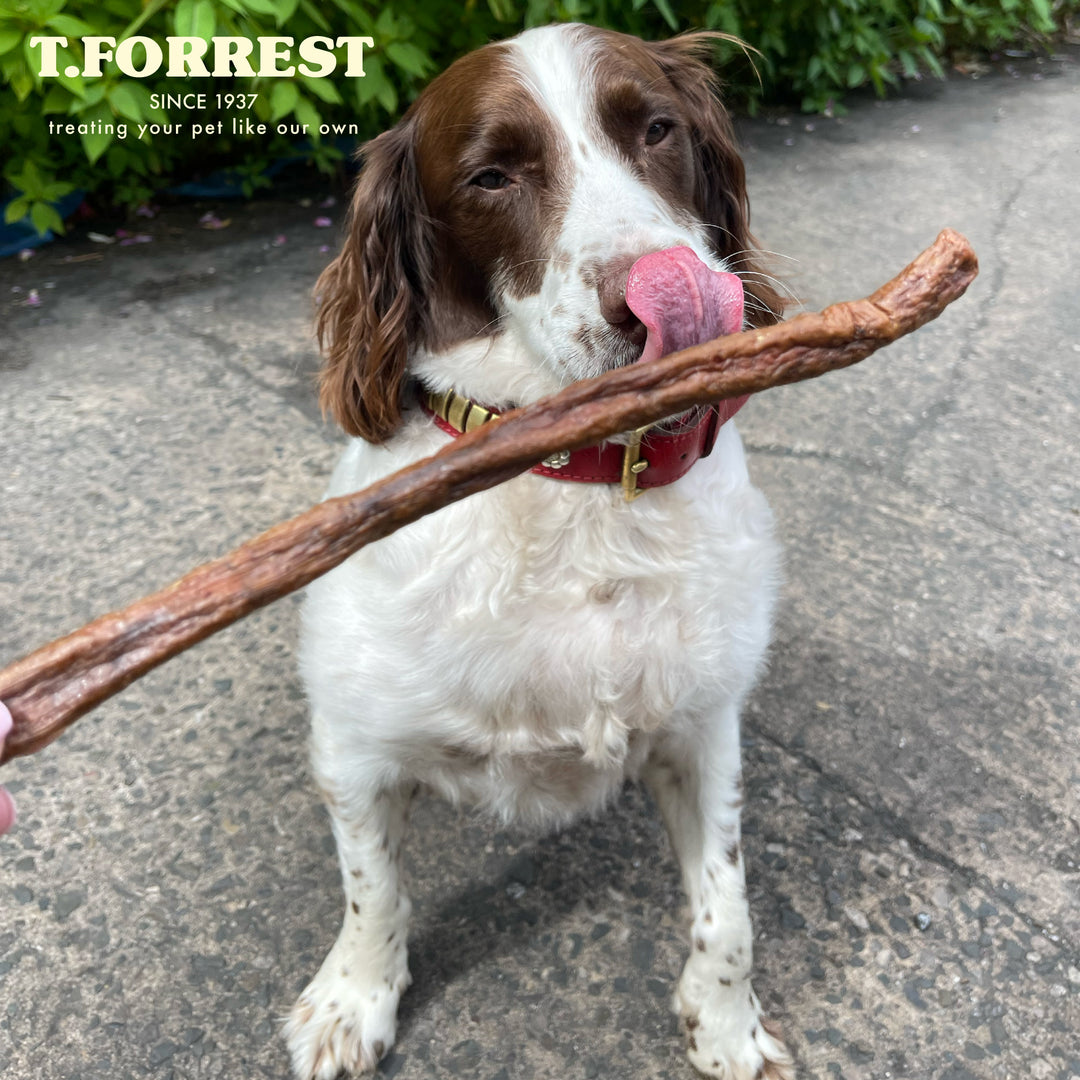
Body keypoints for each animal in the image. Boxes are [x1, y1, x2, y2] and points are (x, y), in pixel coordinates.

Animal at [285, 19, 794, 1080]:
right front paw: (353, 1002)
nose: (669, 303)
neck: (573, 481)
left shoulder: (703, 728)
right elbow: (372, 890)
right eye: (490, 178)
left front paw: (728, 1027)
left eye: (657, 129)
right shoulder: (354, 746)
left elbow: (729, 910)